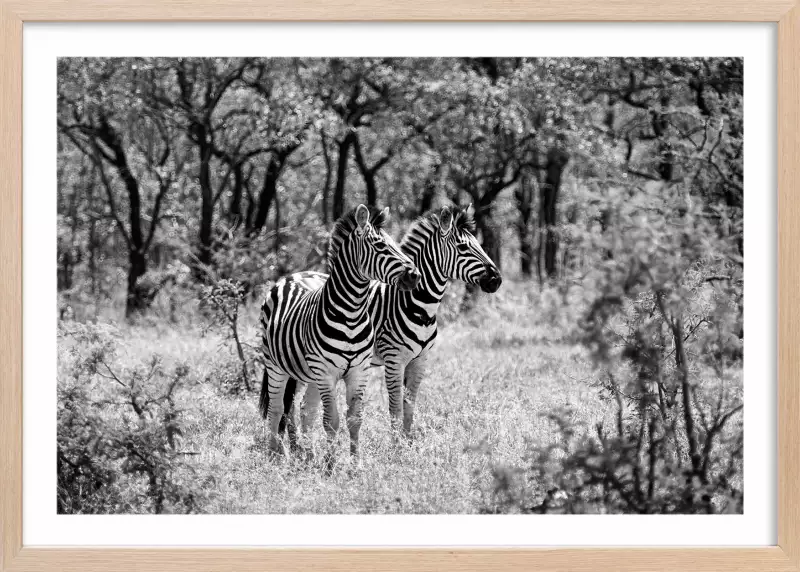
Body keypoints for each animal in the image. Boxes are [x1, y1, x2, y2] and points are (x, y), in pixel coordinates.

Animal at [260, 203, 422, 466]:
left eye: (396, 244)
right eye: (381, 246)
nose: (415, 276)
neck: (352, 314)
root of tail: (290, 277)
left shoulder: (358, 371)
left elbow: (354, 419)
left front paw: (355, 464)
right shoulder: (327, 373)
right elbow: (331, 422)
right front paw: (331, 464)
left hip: (310, 373)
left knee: (305, 409)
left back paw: (308, 455)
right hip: (275, 365)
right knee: (276, 409)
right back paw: (276, 456)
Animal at [282, 204, 500, 438]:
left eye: (478, 244)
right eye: (463, 247)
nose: (497, 280)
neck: (417, 306)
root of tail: (298, 274)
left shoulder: (419, 360)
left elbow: (409, 408)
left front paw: (408, 443)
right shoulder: (394, 359)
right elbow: (395, 409)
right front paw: (397, 444)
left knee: (305, 405)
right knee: (291, 405)